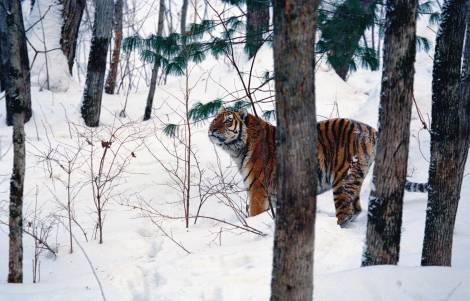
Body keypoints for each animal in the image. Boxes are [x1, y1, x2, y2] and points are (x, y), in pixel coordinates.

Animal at [207, 106, 428, 226]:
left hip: (342, 180)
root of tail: (371, 129)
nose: (211, 129)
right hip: (355, 179)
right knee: (356, 209)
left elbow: (255, 213)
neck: (238, 149)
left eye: (227, 121)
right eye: (214, 119)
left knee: (346, 212)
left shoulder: (258, 191)